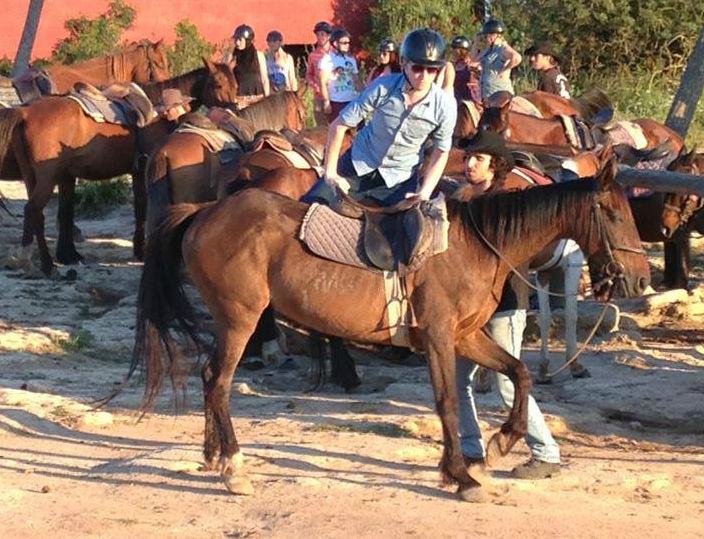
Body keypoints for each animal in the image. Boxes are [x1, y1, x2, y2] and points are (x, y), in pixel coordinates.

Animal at [0, 60, 239, 276]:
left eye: (236, 84)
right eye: (218, 84)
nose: (231, 113)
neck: (160, 110)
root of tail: (25, 113)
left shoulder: (75, 175)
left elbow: (68, 212)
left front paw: (70, 255)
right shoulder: (143, 169)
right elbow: (141, 207)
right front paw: (140, 250)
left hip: (33, 178)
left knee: (37, 215)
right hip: (46, 179)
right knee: (33, 210)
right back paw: (45, 264)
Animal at [130, 155, 649, 501]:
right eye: (615, 214)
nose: (640, 279)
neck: (474, 246)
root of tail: (203, 212)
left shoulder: (465, 336)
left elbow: (518, 374)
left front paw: (500, 444)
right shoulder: (438, 337)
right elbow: (446, 403)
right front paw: (461, 475)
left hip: (228, 320)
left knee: (207, 378)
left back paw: (213, 456)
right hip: (240, 319)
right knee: (219, 382)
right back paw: (234, 468)